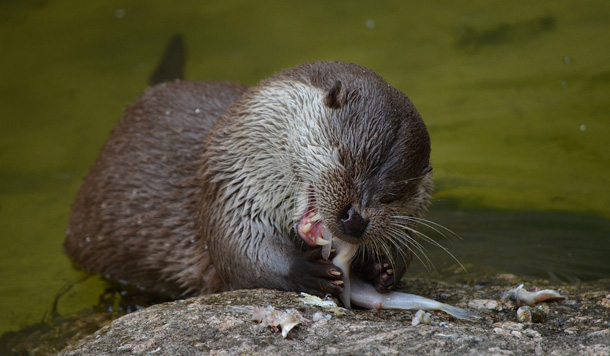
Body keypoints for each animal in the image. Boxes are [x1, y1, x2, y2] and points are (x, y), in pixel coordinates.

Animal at [64, 62, 468, 320]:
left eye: (393, 195)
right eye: (344, 159)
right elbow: (240, 254)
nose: (354, 220)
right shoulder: (232, 187)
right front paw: (307, 270)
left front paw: (380, 269)